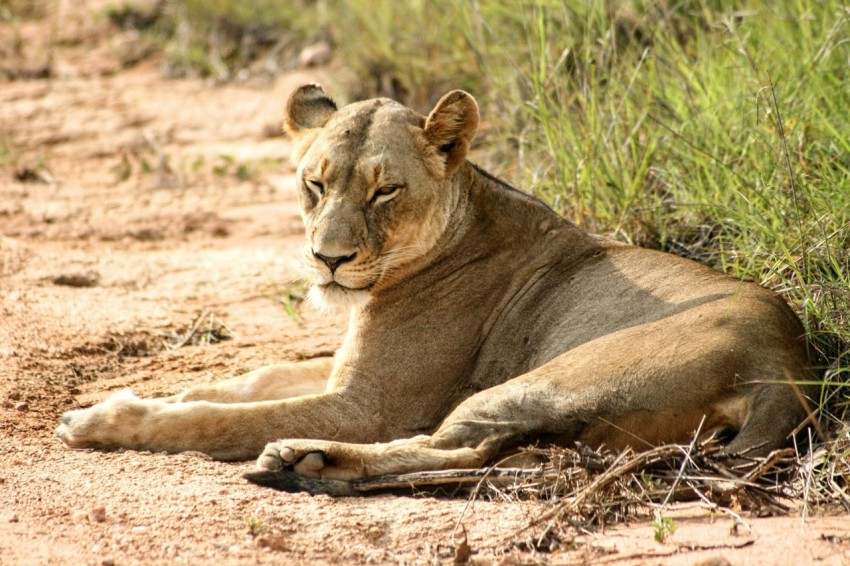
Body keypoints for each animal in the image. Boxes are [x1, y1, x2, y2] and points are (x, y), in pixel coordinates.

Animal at [57, 84, 817, 493]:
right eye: (314, 183)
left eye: (385, 190)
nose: (327, 259)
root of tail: (788, 366)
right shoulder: (345, 367)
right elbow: (256, 378)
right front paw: (184, 389)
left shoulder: (370, 406)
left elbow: (227, 419)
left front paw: (105, 418)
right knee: (481, 454)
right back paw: (308, 460)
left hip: (545, 379)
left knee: (459, 448)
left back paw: (300, 456)